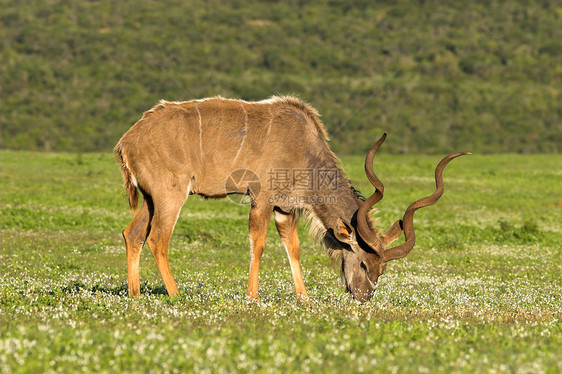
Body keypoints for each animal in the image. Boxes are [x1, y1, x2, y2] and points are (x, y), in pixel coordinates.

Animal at [114, 95, 468, 300]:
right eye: (365, 265)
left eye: (381, 271)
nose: (364, 297)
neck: (305, 151)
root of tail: (127, 140)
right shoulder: (261, 198)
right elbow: (258, 244)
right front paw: (253, 296)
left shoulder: (284, 209)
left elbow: (293, 248)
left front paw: (303, 298)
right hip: (170, 195)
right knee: (158, 238)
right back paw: (176, 295)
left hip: (151, 198)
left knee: (133, 233)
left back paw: (135, 295)